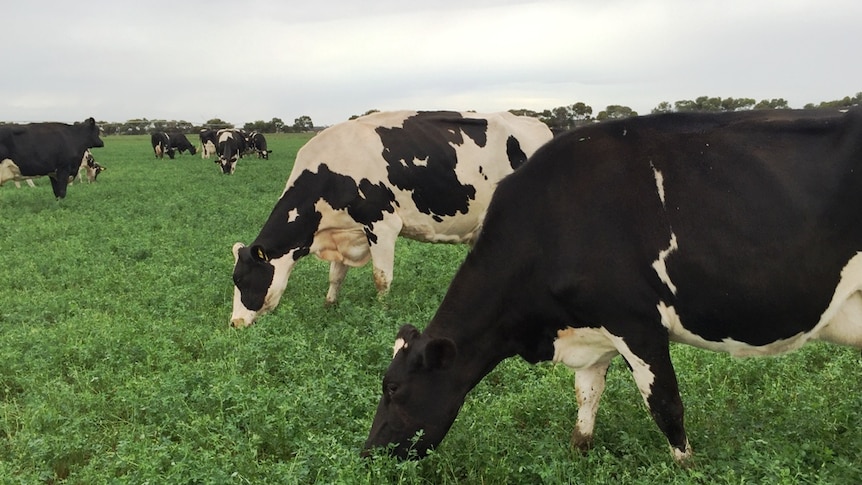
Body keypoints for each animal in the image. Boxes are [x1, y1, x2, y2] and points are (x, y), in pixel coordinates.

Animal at [230, 111, 552, 328]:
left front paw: (382, 313)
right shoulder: (344, 232)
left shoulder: (381, 225)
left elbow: (381, 277)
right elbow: (336, 276)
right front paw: (329, 306)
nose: (235, 323)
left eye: (242, 280)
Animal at [362, 108, 862, 464]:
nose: (368, 455)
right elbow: (587, 397)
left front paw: (687, 466)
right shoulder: (592, 327)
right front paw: (579, 451)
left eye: (393, 389)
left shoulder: (636, 322)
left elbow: (665, 404)